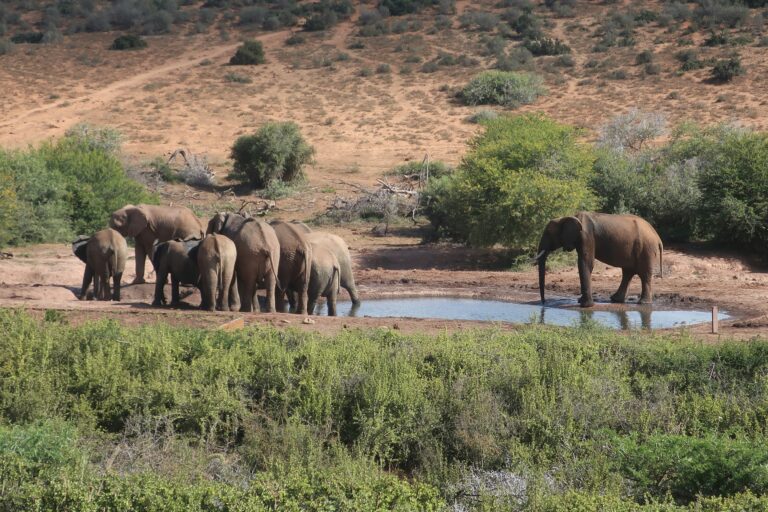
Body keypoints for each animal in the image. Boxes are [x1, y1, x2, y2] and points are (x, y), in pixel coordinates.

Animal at [534, 212, 663, 308]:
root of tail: (657, 237)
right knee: (628, 273)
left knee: (644, 274)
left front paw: (585, 305)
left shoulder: (586, 236)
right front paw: (580, 301)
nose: (544, 303)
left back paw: (643, 303)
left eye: (548, 233)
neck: (567, 217)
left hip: (646, 249)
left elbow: (585, 263)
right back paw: (615, 299)